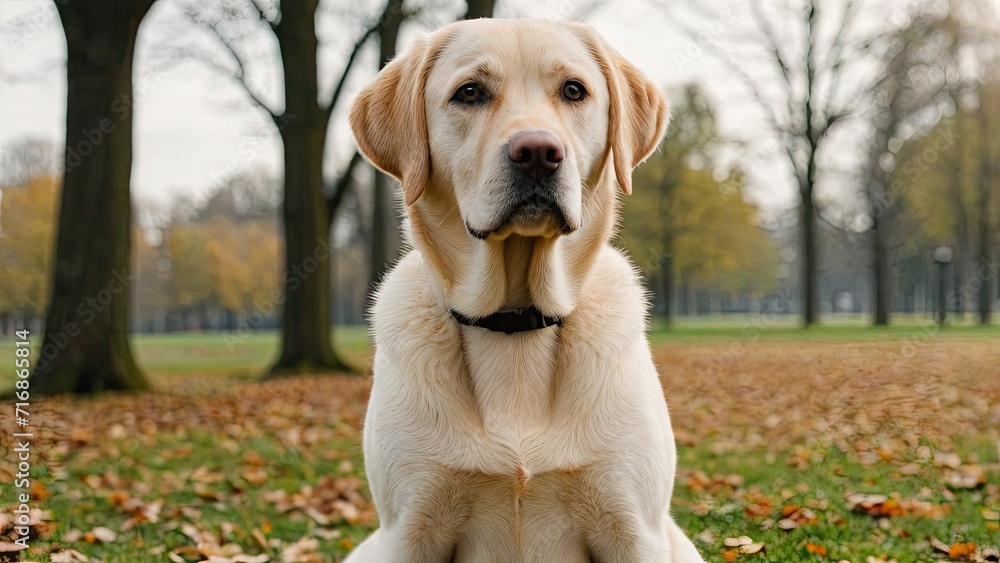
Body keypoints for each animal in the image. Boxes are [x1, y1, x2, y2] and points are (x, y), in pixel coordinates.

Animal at [348, 17, 708, 563]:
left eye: (574, 90)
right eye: (469, 92)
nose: (538, 153)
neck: (514, 321)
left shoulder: (632, 528)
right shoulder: (409, 530)